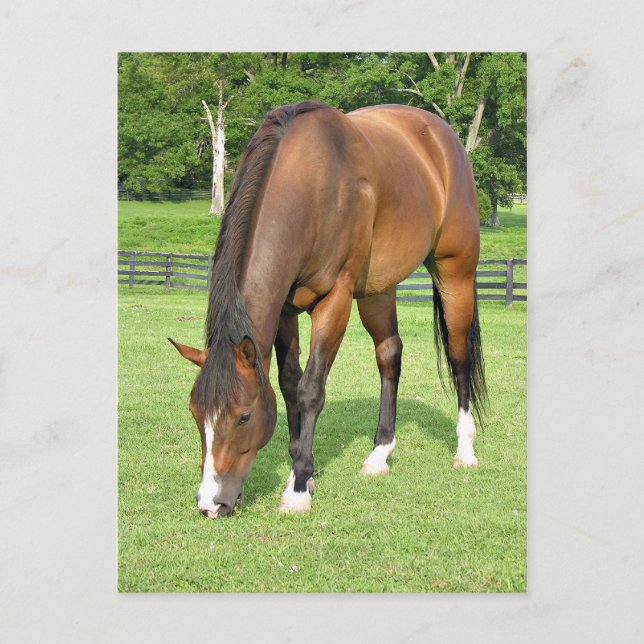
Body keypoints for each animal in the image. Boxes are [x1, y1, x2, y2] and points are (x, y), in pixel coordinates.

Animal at [169, 101, 486, 518]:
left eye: (244, 416)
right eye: (195, 413)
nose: (210, 503)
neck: (312, 186)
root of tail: (444, 138)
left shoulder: (335, 300)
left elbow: (310, 389)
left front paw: (298, 486)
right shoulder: (285, 310)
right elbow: (289, 385)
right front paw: (298, 467)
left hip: (455, 271)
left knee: (459, 353)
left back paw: (465, 449)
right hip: (377, 289)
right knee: (390, 355)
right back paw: (379, 454)